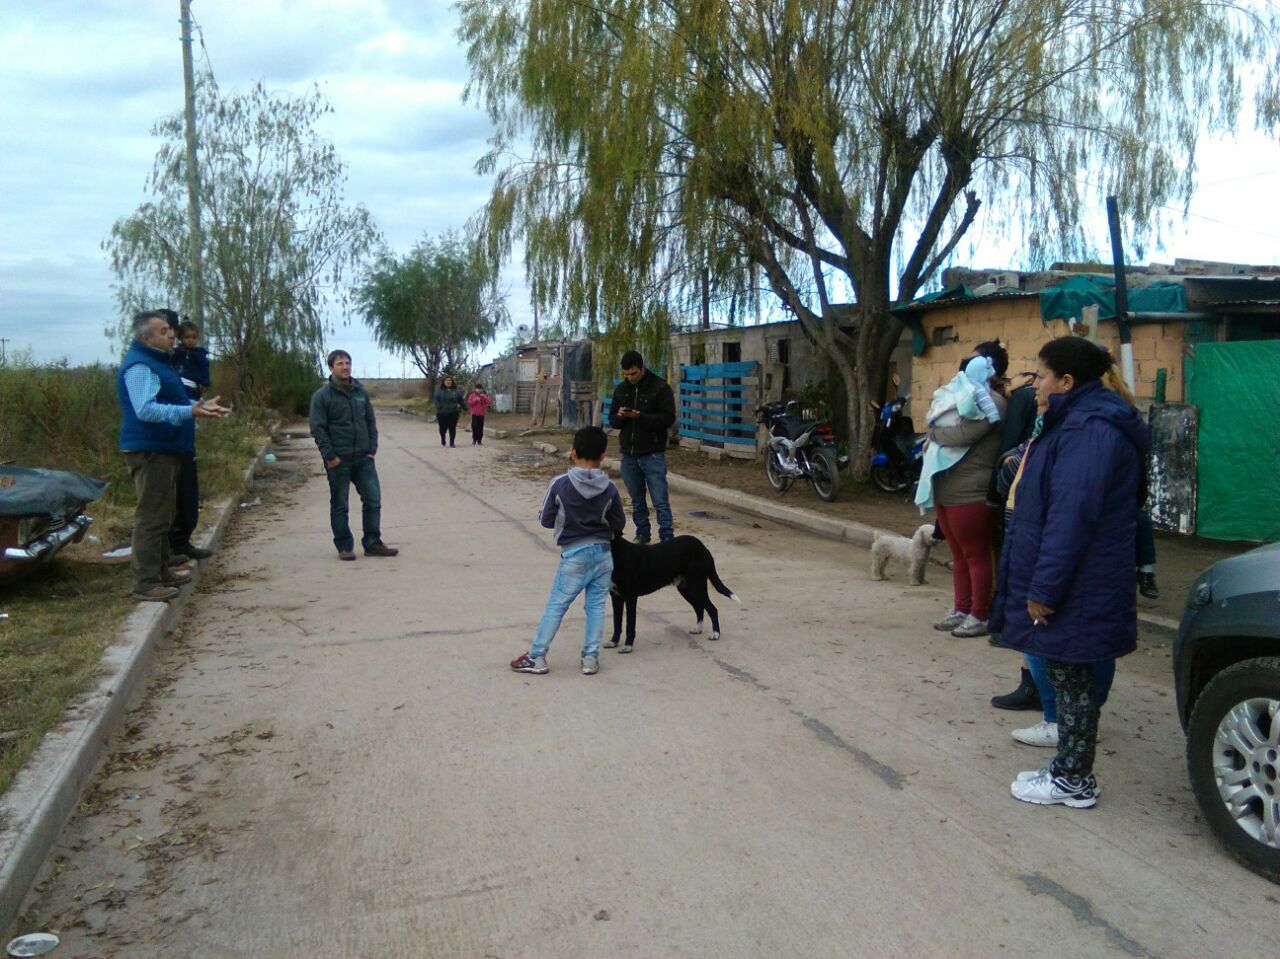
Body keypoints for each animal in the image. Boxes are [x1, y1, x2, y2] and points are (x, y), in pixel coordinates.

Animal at [609, 530, 742, 650]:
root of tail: (703, 548)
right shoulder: (615, 596)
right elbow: (616, 622)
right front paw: (613, 642)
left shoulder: (630, 597)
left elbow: (630, 624)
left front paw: (628, 645)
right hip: (686, 589)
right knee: (699, 608)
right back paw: (698, 629)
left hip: (697, 586)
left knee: (712, 609)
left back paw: (716, 634)